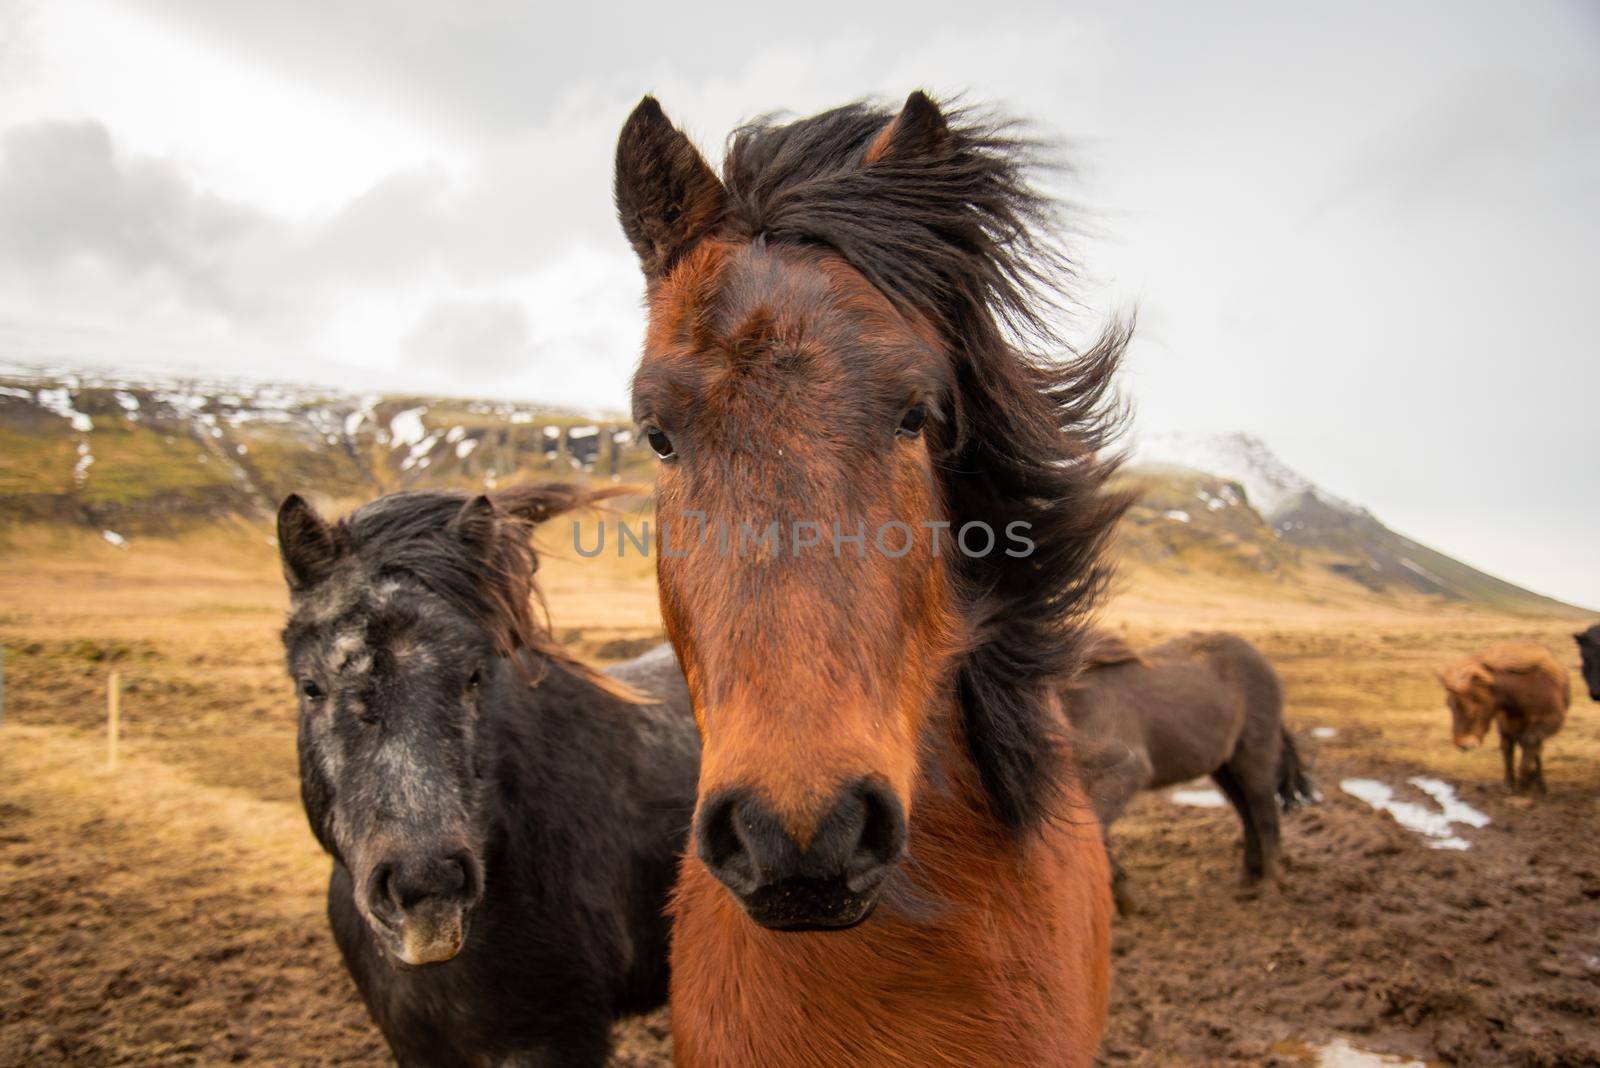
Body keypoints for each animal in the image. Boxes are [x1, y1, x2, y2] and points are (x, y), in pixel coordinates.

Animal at [1062, 629, 1312, 914]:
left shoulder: (1127, 770)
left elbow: (1093, 830)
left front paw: (1123, 896)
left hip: (1255, 757)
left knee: (1265, 815)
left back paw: (1271, 888)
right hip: (1224, 768)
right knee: (1247, 813)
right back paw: (1248, 882)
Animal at [1446, 642, 1568, 793]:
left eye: (1475, 699)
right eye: (1449, 704)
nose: (1463, 744)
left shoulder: (1550, 722)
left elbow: (1530, 742)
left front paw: (1528, 782)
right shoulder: (1507, 724)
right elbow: (1510, 747)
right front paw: (1518, 782)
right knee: (1509, 746)